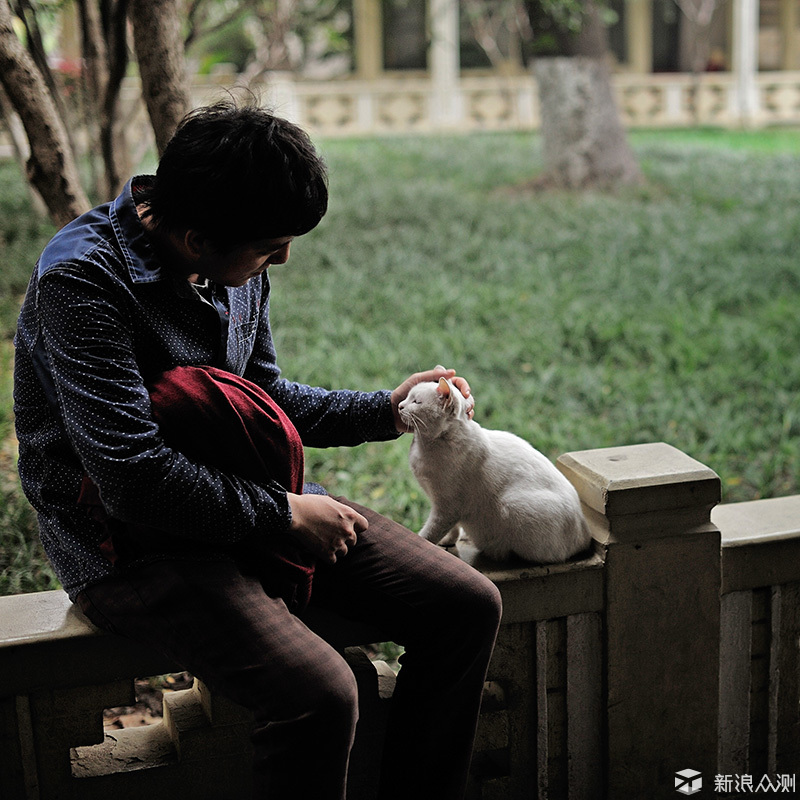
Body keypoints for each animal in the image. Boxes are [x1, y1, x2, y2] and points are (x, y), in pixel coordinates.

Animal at [400, 380, 592, 564]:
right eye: (407, 397)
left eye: (416, 401)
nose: (400, 406)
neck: (425, 445)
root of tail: (585, 535)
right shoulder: (442, 504)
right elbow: (452, 529)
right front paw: (447, 541)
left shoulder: (447, 507)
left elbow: (429, 534)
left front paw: (422, 544)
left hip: (513, 506)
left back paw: (500, 552)